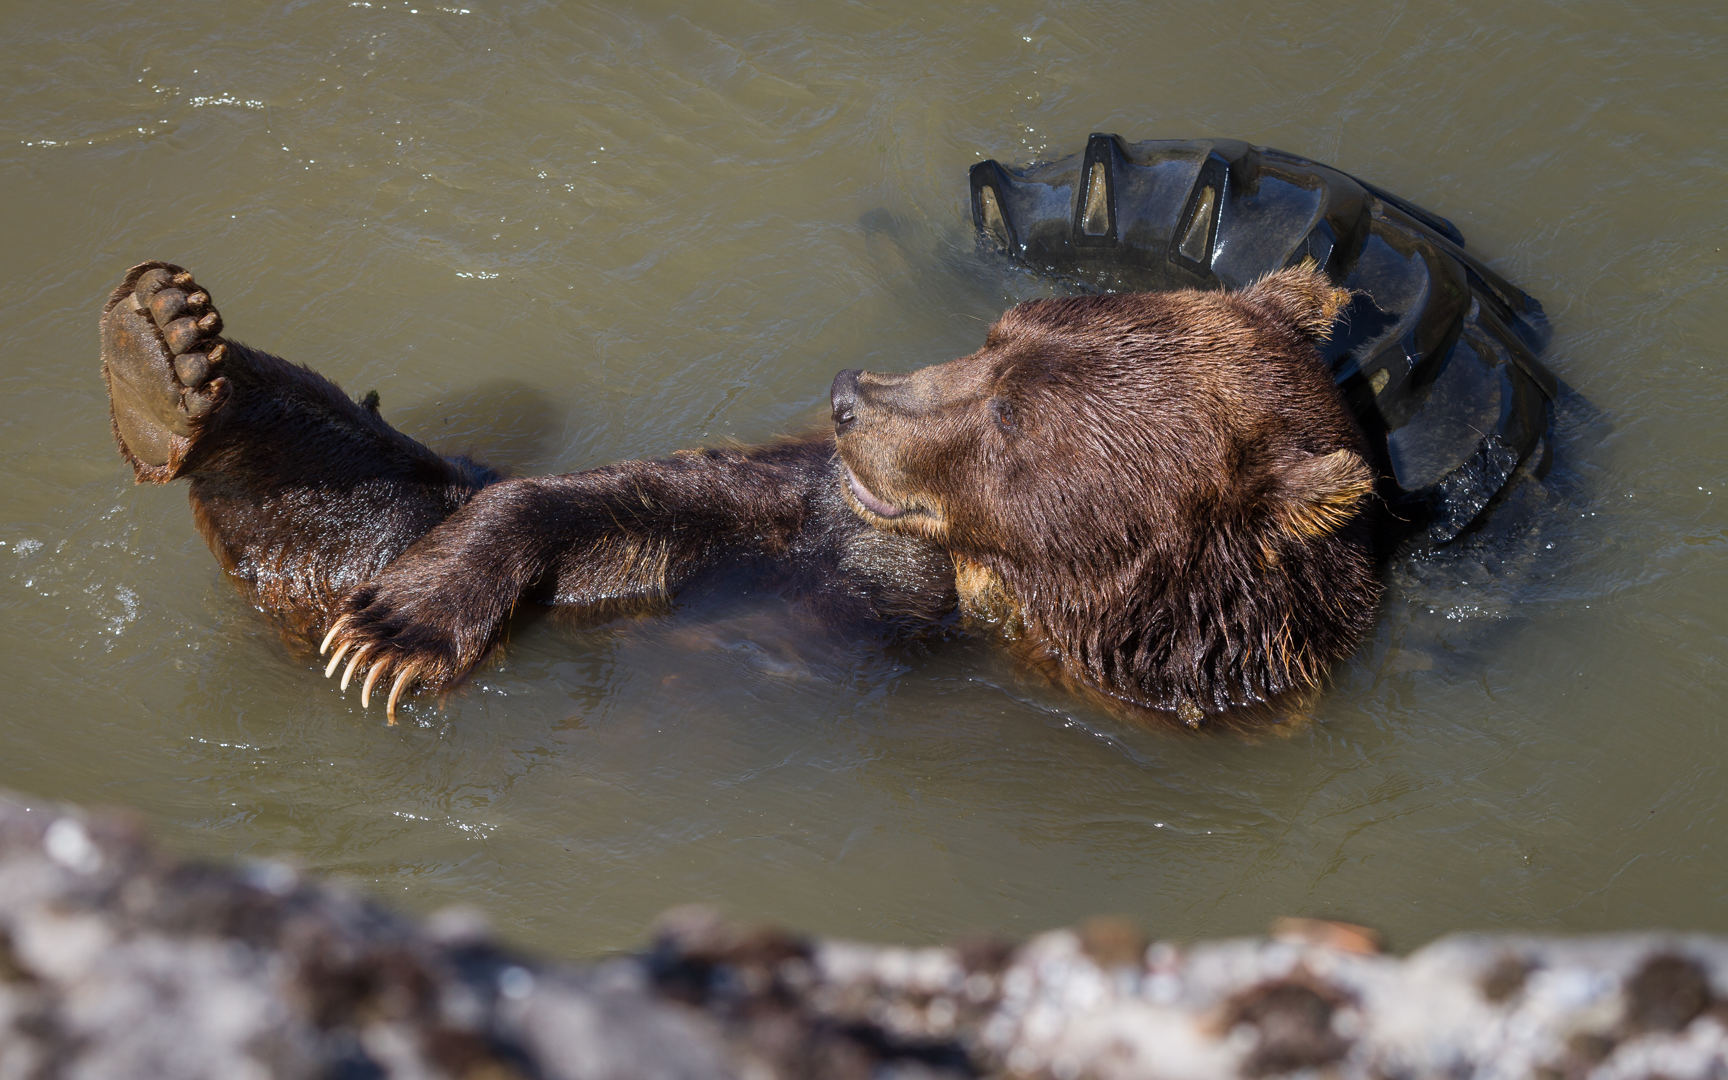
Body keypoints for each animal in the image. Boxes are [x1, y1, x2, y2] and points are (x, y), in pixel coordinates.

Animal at [104, 257, 1375, 725]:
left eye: (1014, 418)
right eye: (998, 336)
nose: (855, 395)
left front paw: (387, 632)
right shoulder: (803, 514)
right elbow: (622, 507)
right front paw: (406, 618)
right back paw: (168, 351)